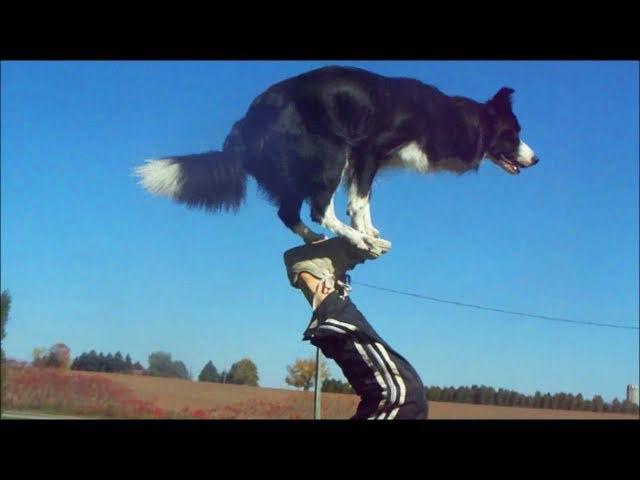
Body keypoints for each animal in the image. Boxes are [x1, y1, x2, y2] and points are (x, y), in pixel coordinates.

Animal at [135, 66, 540, 251]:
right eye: (514, 133)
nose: (536, 160)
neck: (443, 117)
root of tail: (247, 121)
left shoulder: (362, 161)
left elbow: (362, 199)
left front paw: (372, 231)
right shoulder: (367, 149)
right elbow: (359, 201)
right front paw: (367, 235)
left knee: (289, 212)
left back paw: (315, 239)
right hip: (330, 152)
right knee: (318, 208)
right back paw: (352, 239)